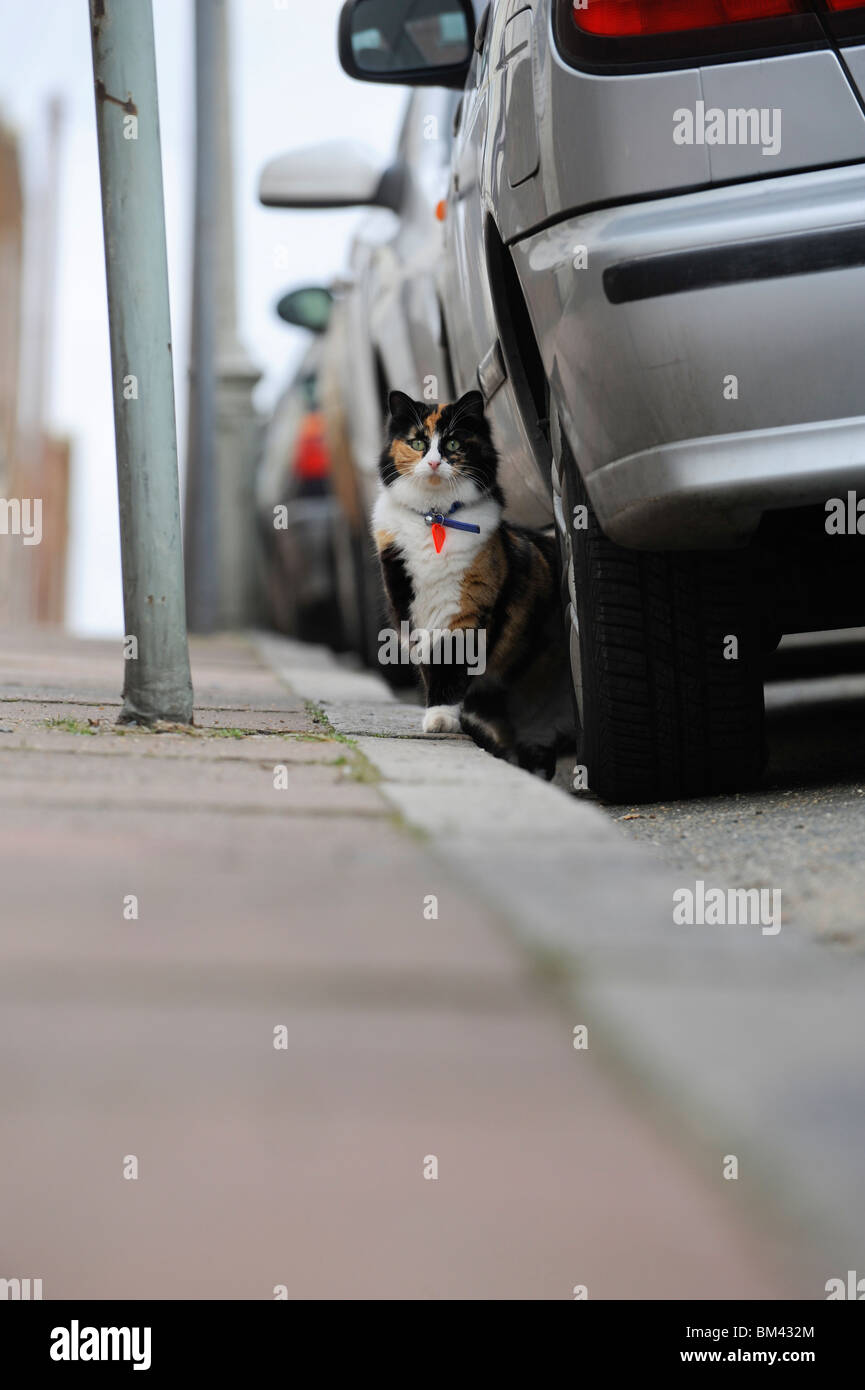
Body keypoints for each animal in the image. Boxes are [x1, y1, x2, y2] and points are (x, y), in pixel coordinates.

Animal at [375, 389, 572, 783]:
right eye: (418, 442)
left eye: (453, 443)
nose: (435, 462)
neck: (435, 518)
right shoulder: (413, 613)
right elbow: (431, 666)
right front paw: (438, 716)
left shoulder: (467, 613)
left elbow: (451, 666)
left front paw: (440, 718)